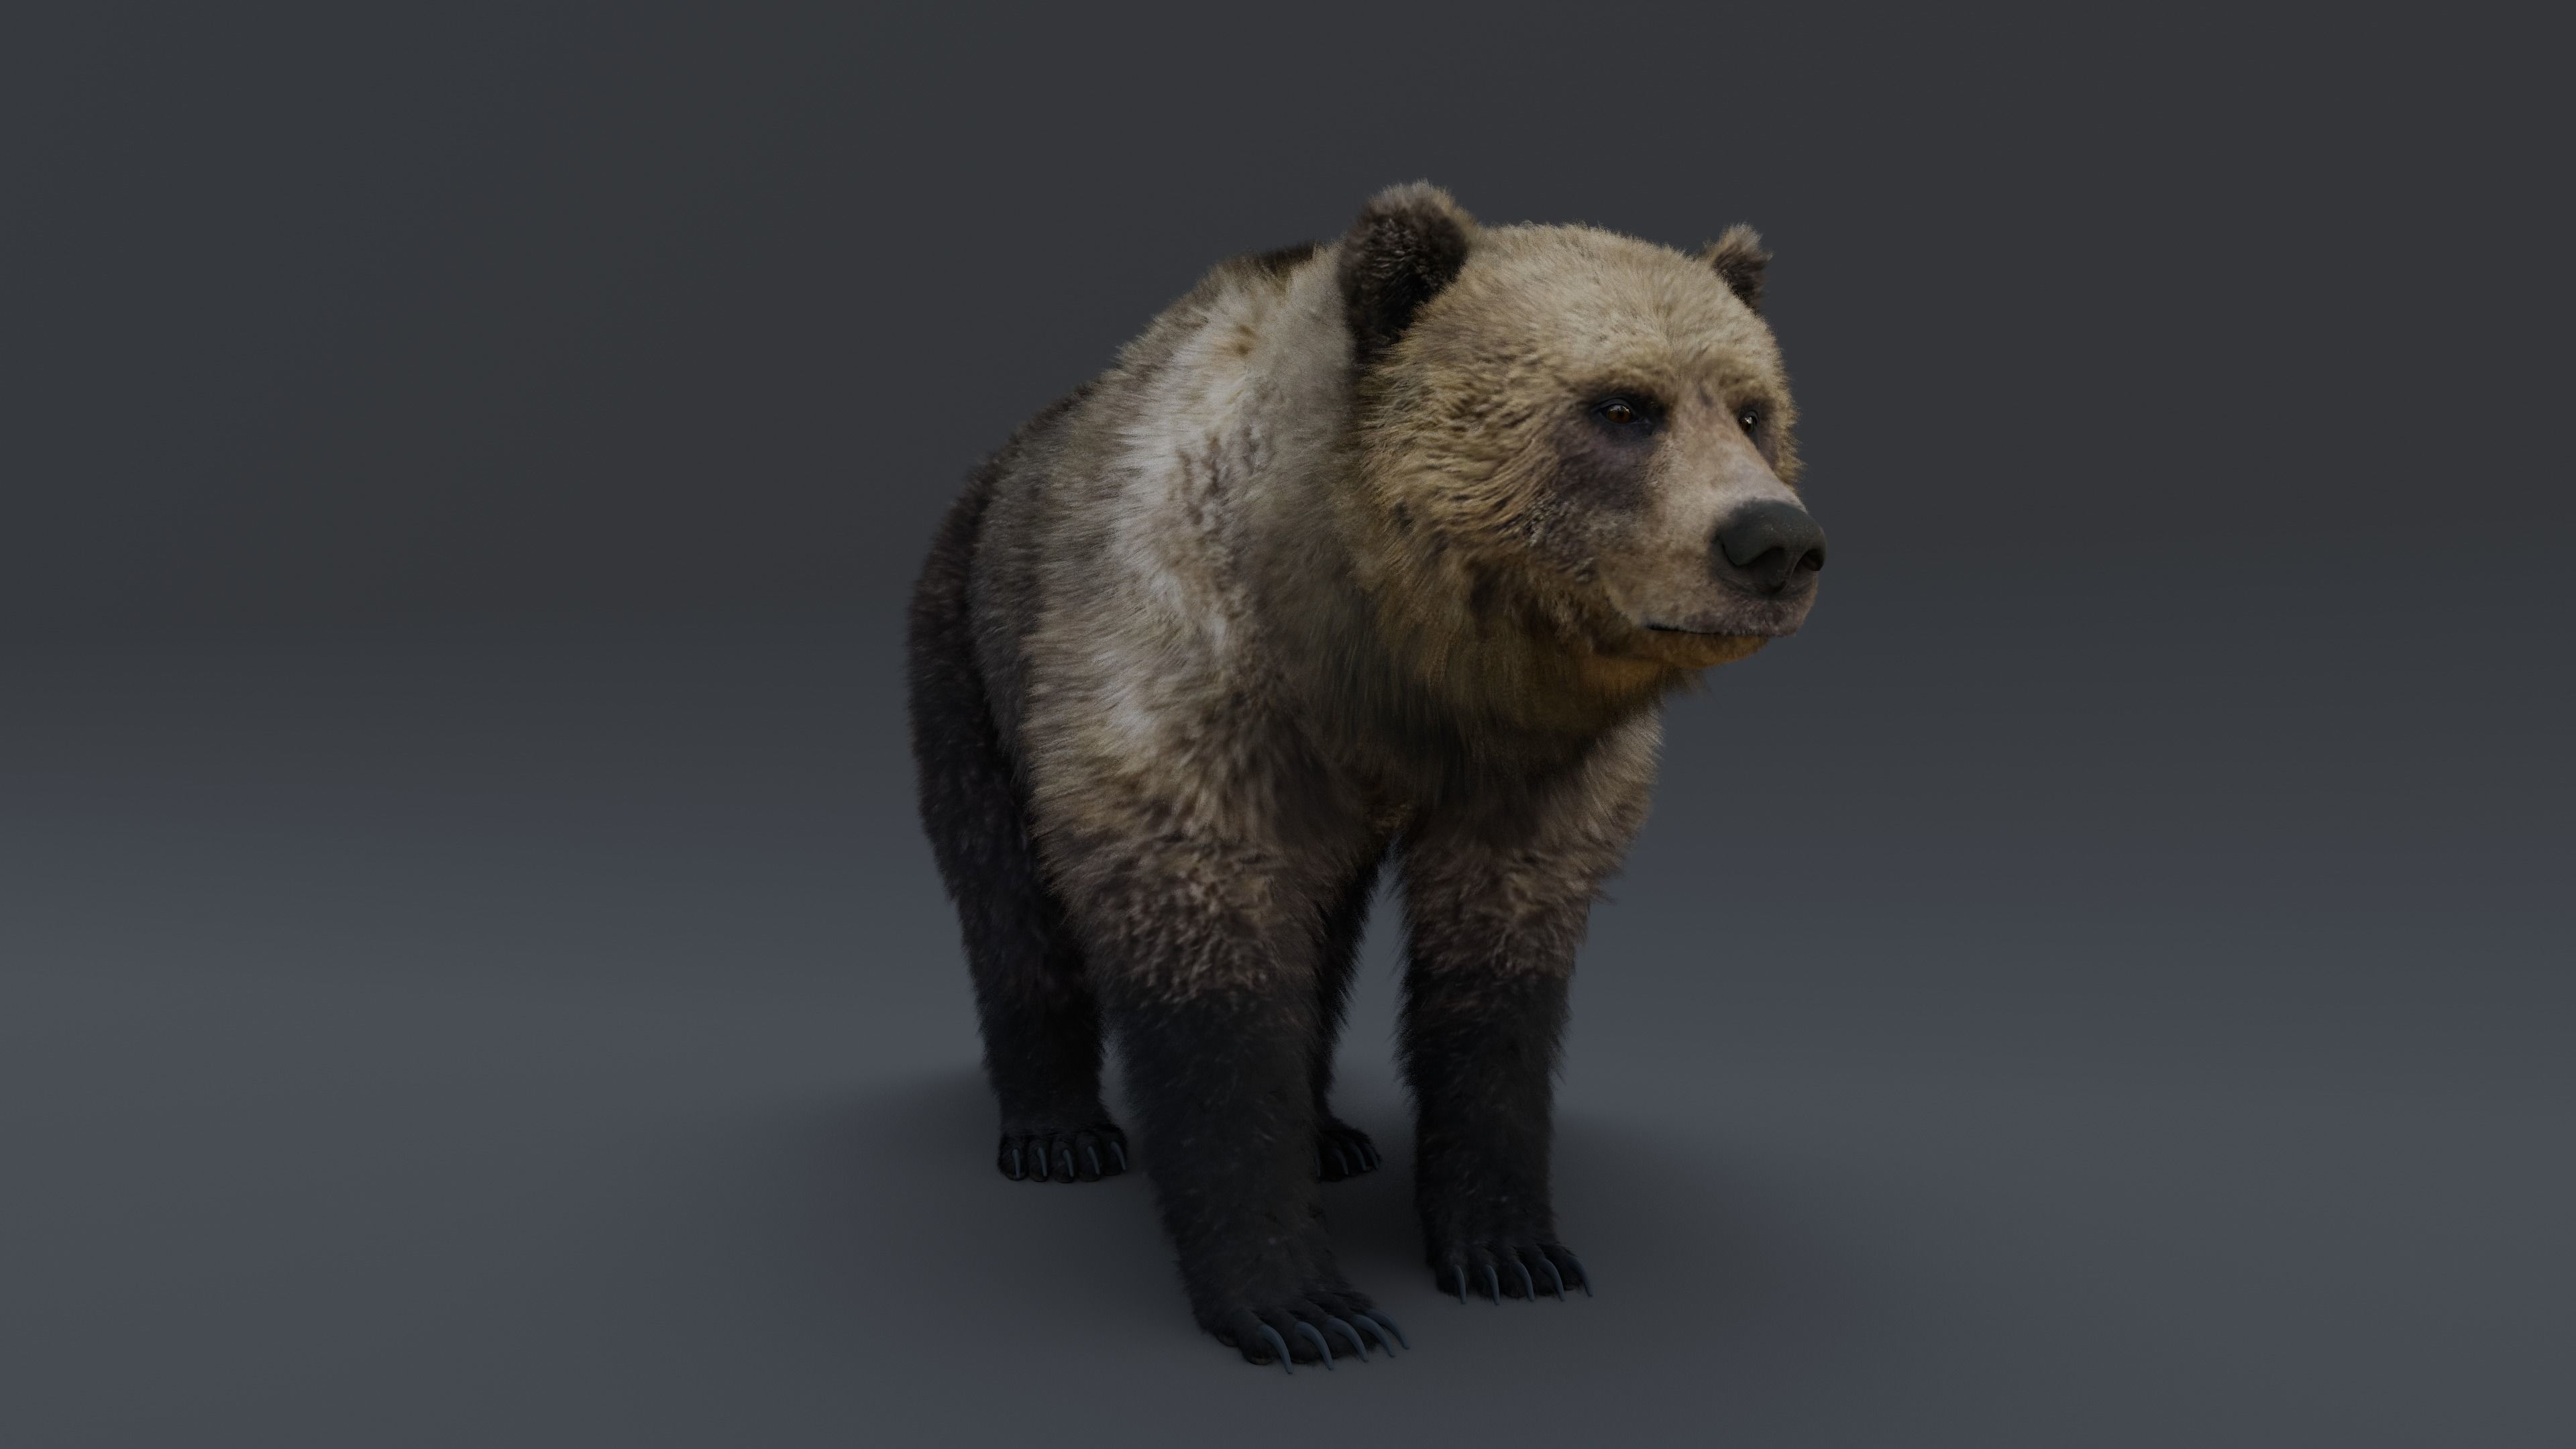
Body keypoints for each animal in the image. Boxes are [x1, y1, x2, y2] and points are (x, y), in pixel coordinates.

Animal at [906, 182, 1825, 1370]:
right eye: (1624, 407)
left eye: (1753, 410)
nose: (1774, 542)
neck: (1389, 653)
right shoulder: (1188, 681)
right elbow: (1204, 956)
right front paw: (1300, 1302)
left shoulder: (1529, 771)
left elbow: (1496, 980)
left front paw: (1510, 1247)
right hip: (970, 656)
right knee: (1006, 891)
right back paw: (1058, 1131)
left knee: (1327, 920)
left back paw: (1332, 1132)